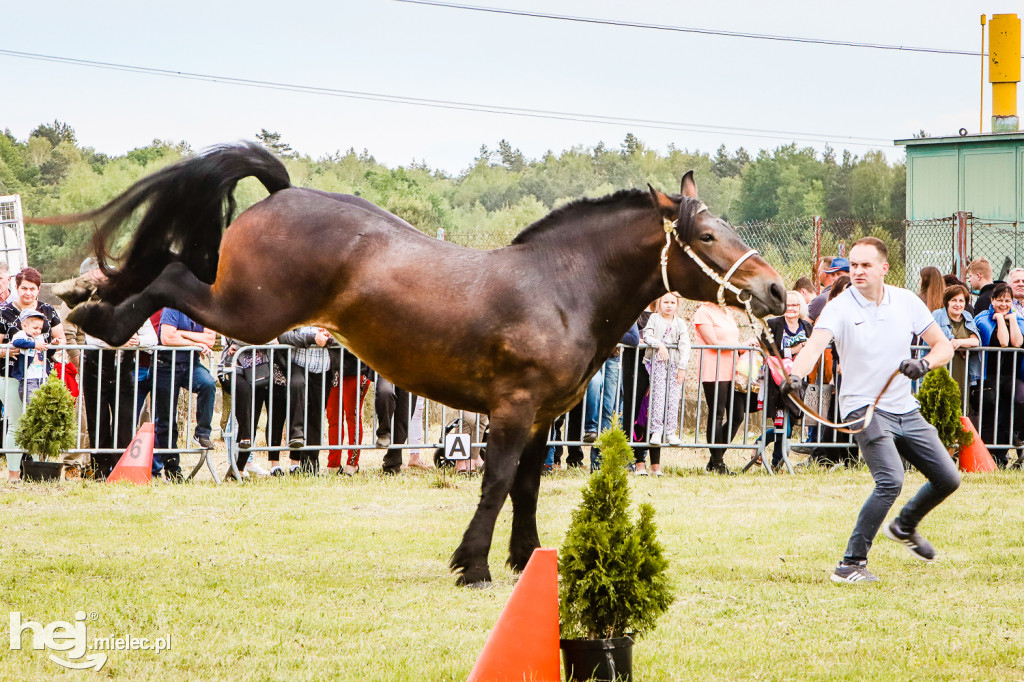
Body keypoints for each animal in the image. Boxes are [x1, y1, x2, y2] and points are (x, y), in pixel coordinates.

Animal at [37, 142, 782, 585]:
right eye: (707, 235)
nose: (775, 292)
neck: (558, 286)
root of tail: (282, 191)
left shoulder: (544, 418)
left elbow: (528, 486)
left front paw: (523, 558)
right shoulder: (512, 412)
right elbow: (497, 482)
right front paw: (474, 565)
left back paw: (83, 299)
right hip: (247, 311)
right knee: (165, 277)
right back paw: (91, 312)